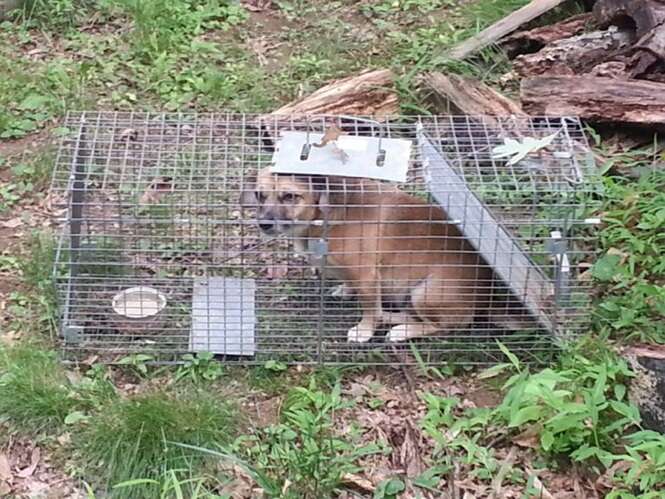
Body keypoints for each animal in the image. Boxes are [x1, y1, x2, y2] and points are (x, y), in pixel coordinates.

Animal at [241, 168, 490, 344]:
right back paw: (390, 317)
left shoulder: (367, 275)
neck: (322, 217)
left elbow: (370, 309)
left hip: (425, 293)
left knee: (441, 325)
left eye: (290, 196)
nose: (263, 224)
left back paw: (400, 330)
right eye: (260, 195)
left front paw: (364, 331)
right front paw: (346, 290)